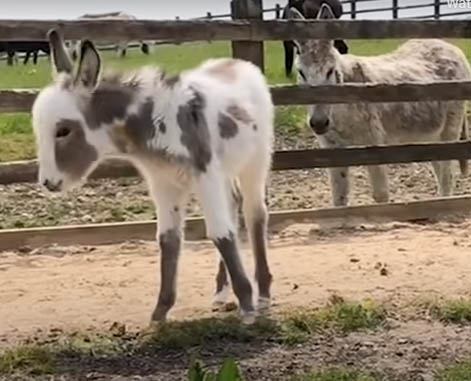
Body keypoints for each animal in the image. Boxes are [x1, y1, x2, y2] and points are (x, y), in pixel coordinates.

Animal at [33, 30, 274, 324]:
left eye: (63, 130)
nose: (48, 183)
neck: (155, 123)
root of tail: (238, 63)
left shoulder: (204, 174)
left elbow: (221, 234)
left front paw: (248, 307)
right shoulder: (163, 182)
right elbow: (168, 240)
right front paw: (160, 312)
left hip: (255, 161)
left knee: (254, 215)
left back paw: (262, 294)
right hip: (225, 171)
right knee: (233, 208)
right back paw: (221, 293)